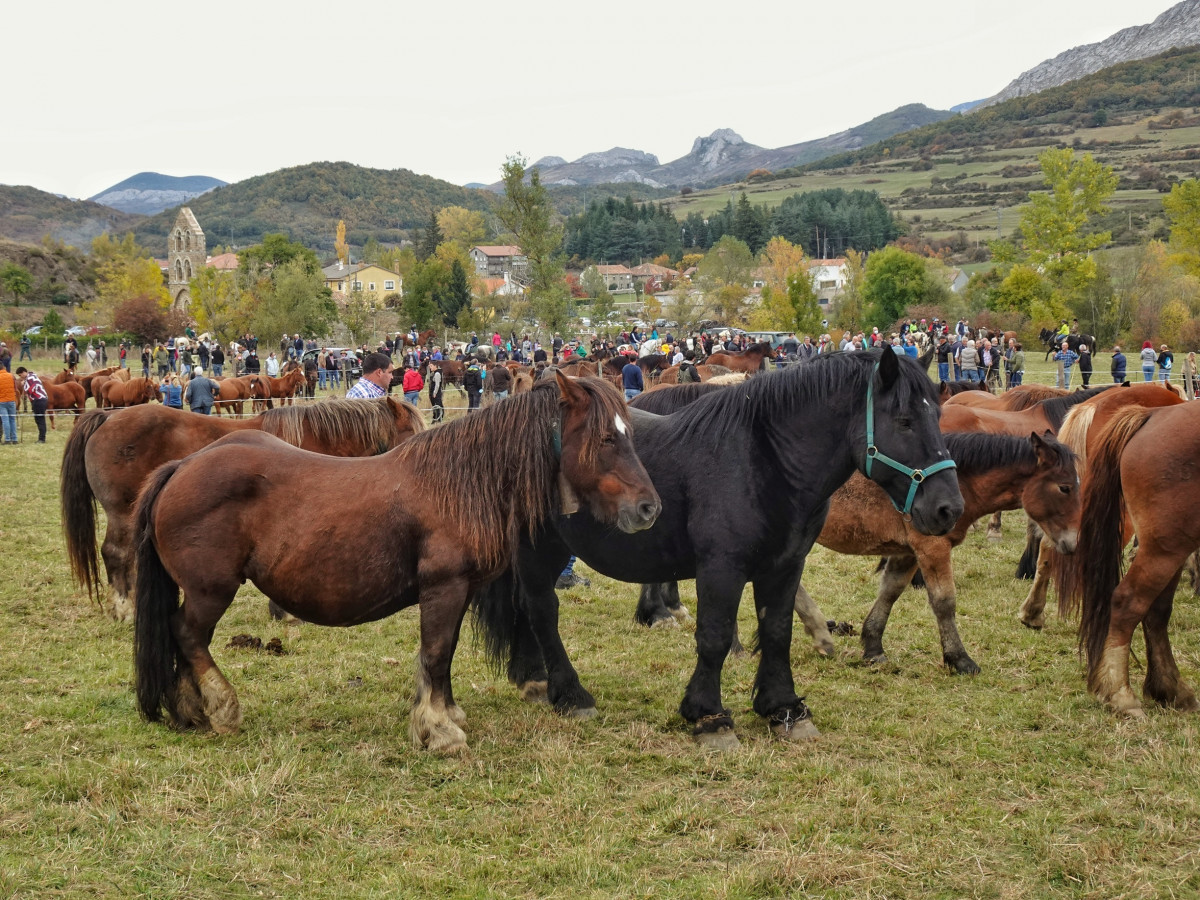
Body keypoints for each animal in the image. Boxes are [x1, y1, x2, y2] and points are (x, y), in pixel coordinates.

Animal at [62, 398, 427, 624]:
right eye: (412, 436)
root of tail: (108, 416)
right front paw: (285, 612)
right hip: (122, 514)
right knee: (116, 554)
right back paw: (125, 609)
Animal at [135, 374, 662, 753]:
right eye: (605, 439)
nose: (649, 508)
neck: (461, 484)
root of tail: (181, 468)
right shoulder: (444, 588)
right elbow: (435, 654)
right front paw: (439, 731)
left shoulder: (460, 591)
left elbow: (444, 655)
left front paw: (446, 715)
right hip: (211, 590)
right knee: (188, 635)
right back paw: (221, 708)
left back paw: (191, 710)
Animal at [472, 348, 960, 748]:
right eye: (904, 421)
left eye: (938, 415)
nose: (948, 508)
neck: (761, 460)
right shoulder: (721, 568)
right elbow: (715, 637)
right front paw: (709, 716)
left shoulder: (785, 565)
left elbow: (777, 630)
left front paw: (783, 708)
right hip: (540, 551)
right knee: (541, 610)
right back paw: (570, 694)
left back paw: (533, 679)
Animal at [1065, 400, 1200, 720]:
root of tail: (1153, 415)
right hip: (1165, 549)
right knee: (1129, 603)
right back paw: (1120, 694)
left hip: (1170, 548)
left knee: (1156, 611)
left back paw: (1170, 689)